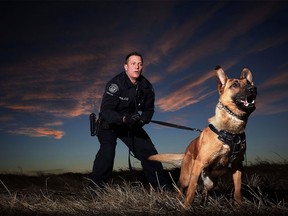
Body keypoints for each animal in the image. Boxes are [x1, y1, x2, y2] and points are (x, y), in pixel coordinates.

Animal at [148, 66, 256, 208]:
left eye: (249, 83)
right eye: (235, 85)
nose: (253, 88)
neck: (230, 131)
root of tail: (186, 150)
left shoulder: (237, 167)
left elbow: (237, 191)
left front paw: (239, 206)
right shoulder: (199, 165)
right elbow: (191, 191)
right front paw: (186, 207)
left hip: (212, 183)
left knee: (204, 190)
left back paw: (204, 203)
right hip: (187, 176)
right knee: (182, 188)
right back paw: (179, 200)